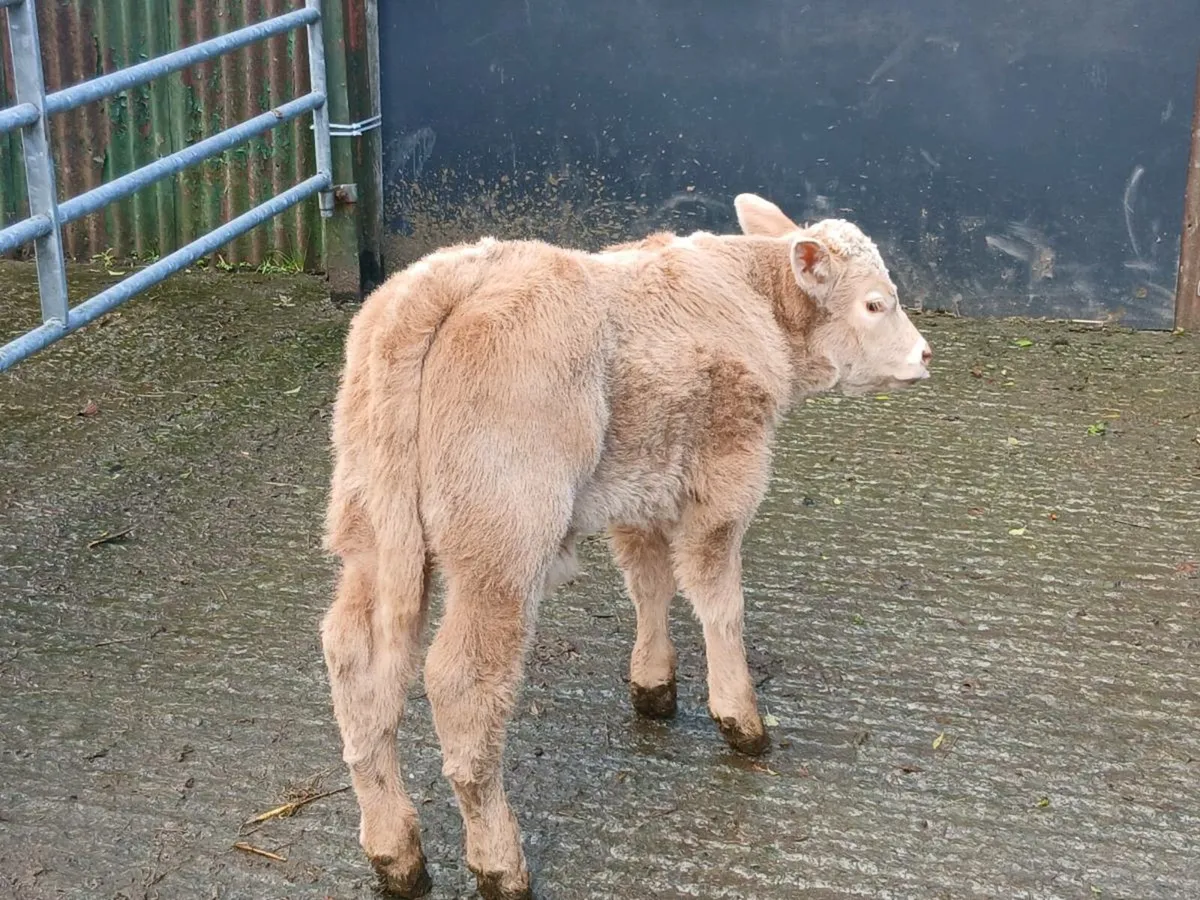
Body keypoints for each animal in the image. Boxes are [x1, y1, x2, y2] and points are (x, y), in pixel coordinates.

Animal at [319, 193, 932, 899]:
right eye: (875, 304)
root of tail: (439, 284)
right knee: (464, 684)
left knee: (356, 659)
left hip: (371, 529)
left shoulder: (640, 485)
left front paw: (653, 684)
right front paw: (740, 717)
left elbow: (649, 582)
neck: (753, 297)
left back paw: (395, 851)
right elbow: (719, 601)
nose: (925, 354)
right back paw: (499, 863)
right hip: (500, 540)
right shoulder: (726, 475)